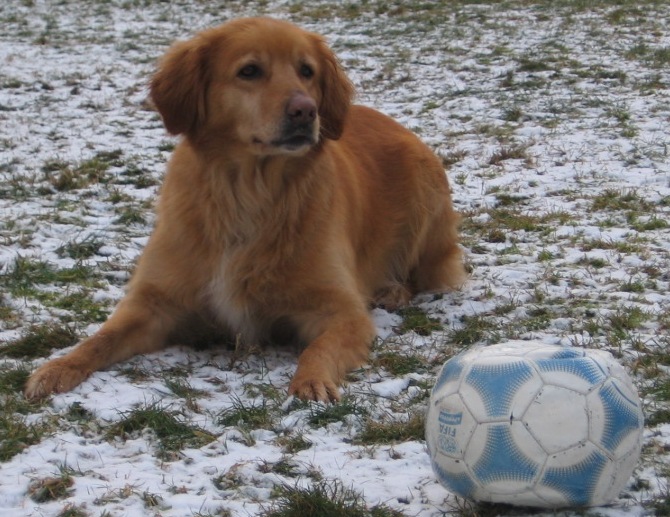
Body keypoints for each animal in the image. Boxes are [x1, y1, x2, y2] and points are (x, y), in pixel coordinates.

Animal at [26, 17, 468, 404]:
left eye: (306, 71)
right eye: (250, 71)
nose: (306, 110)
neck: (248, 194)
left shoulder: (341, 310)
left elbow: (319, 349)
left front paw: (311, 383)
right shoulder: (154, 303)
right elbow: (100, 338)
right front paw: (56, 368)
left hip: (426, 196)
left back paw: (393, 289)